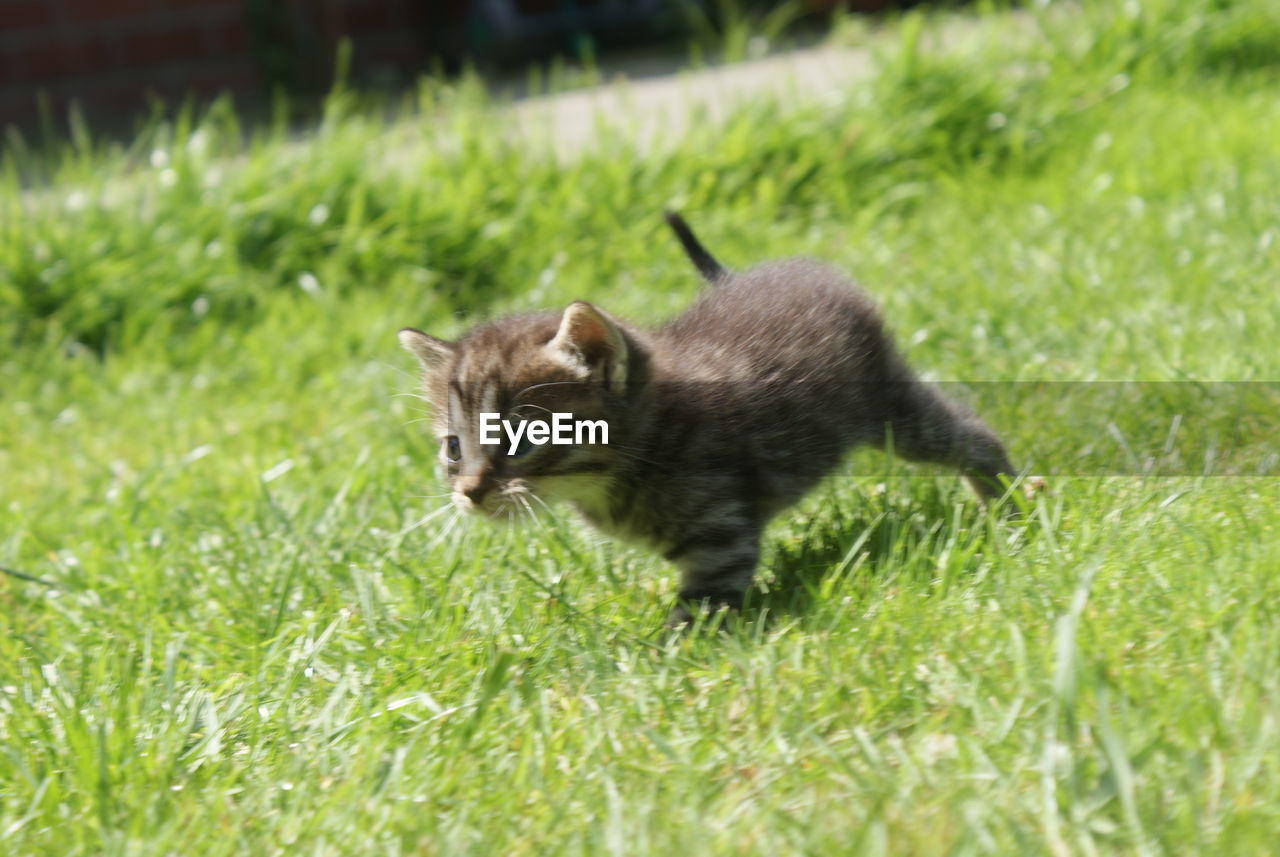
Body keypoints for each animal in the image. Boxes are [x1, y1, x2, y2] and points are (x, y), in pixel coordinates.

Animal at [396, 213, 1008, 631]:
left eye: (524, 439)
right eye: (454, 448)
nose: (470, 492)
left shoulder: (721, 536)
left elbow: (697, 612)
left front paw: (664, 663)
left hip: (890, 406)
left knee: (970, 433)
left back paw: (1006, 502)